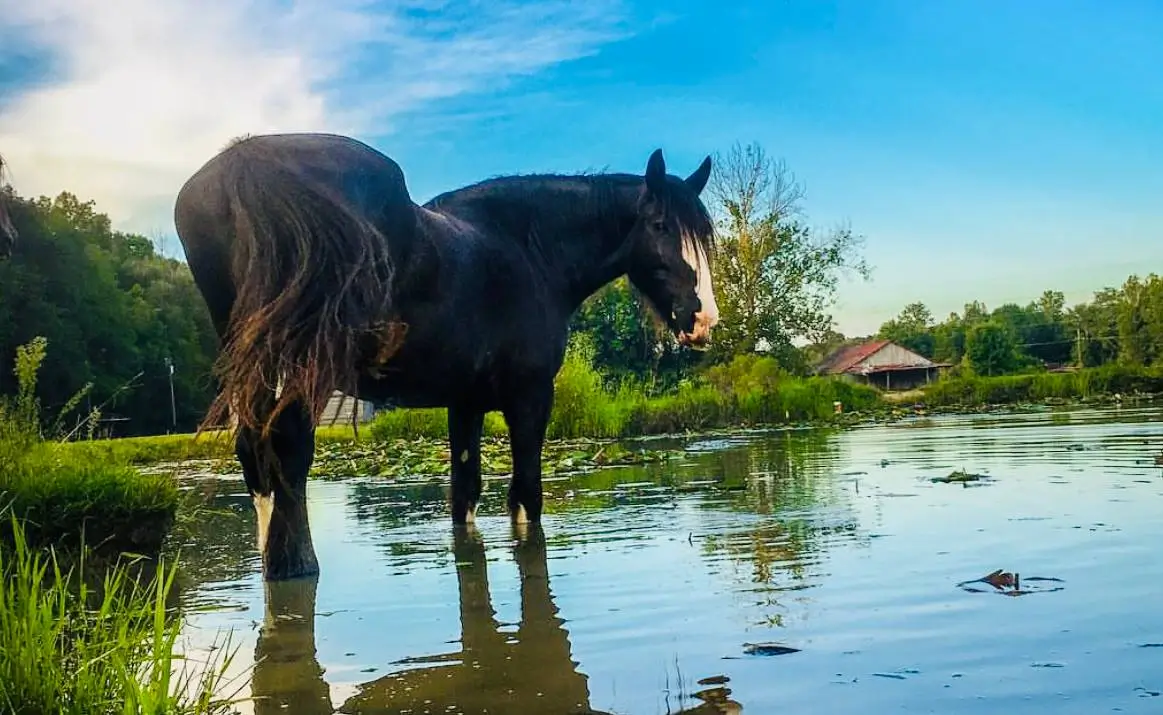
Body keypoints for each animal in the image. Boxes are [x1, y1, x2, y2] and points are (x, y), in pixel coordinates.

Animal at [174, 134, 716, 581]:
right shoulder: (530, 397)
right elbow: (526, 497)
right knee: (288, 451)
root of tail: (246, 162)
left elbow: (464, 495)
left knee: (256, 457)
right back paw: (296, 566)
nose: (703, 318)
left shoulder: (465, 402)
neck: (530, 250)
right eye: (660, 225)